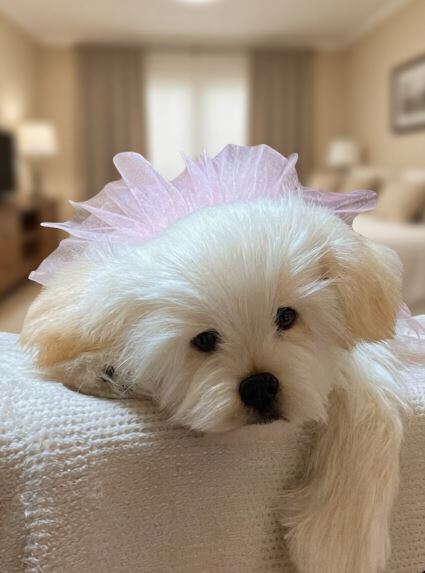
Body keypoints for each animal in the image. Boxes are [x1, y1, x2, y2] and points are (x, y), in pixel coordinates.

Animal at [21, 150, 407, 573]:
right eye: (204, 340)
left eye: (287, 317)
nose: (260, 387)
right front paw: (103, 366)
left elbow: (370, 410)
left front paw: (338, 541)